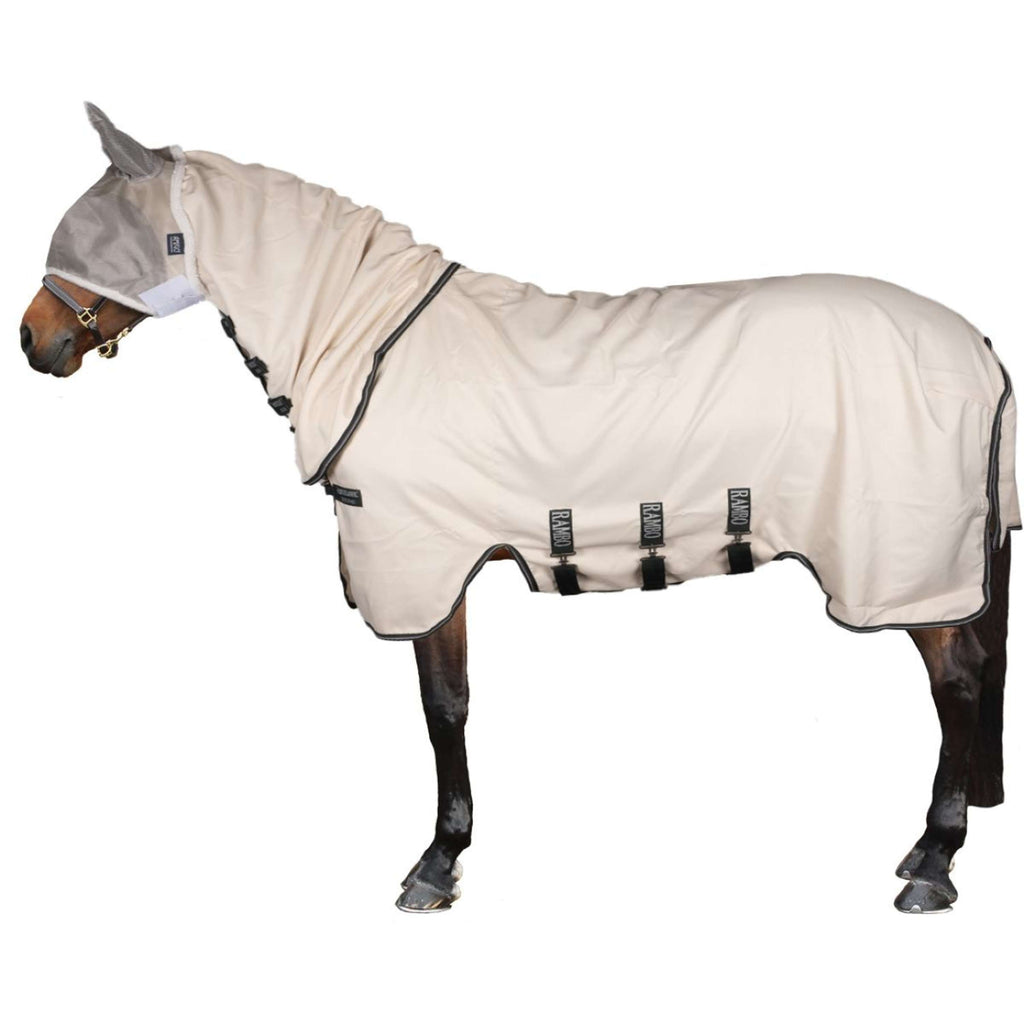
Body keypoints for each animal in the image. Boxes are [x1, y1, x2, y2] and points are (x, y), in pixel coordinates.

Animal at [20, 104, 1017, 914]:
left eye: (94, 233)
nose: (33, 339)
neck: (369, 339)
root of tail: (975, 345)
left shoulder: (422, 564)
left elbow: (444, 707)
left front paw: (436, 863)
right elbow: (451, 703)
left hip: (900, 562)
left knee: (958, 679)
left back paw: (933, 861)